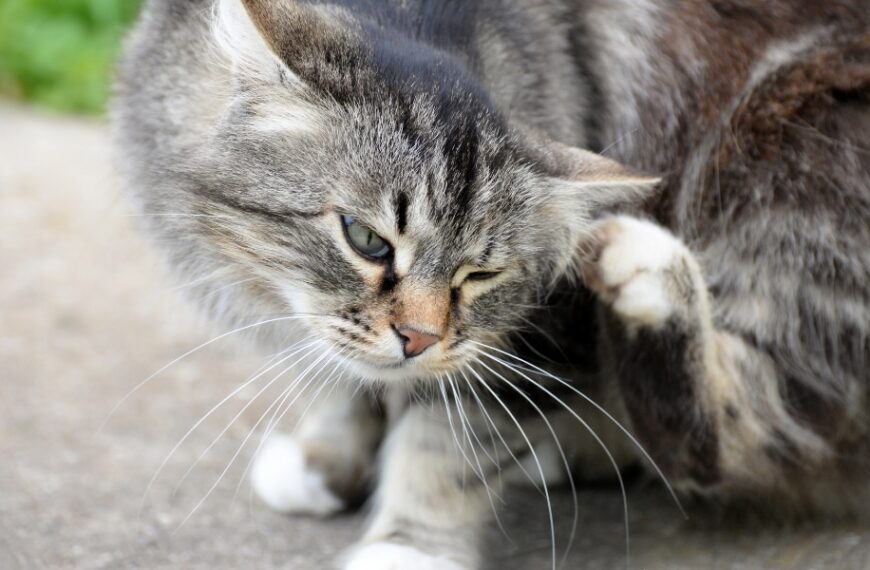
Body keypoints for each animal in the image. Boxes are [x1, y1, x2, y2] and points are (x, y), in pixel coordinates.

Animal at [116, 0, 870, 564]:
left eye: (478, 273)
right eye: (366, 239)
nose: (419, 339)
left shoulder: (536, 333)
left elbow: (449, 445)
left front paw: (409, 546)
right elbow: (334, 379)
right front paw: (325, 459)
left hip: (787, 183)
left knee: (743, 438)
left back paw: (648, 279)